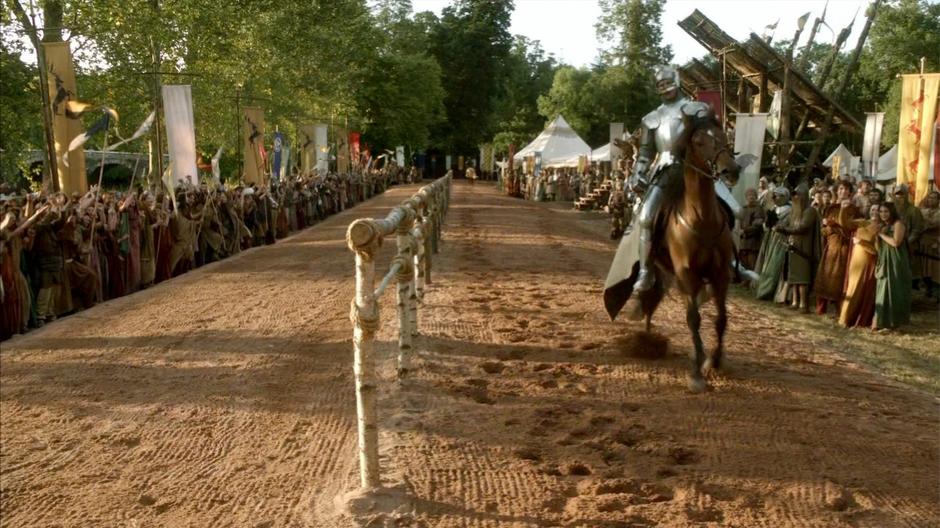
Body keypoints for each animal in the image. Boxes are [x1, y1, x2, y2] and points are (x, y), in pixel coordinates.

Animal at [644, 112, 740, 392]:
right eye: (698, 142)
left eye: (723, 137)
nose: (731, 170)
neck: (702, 219)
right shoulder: (687, 275)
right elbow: (693, 319)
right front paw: (696, 373)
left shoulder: (720, 276)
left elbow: (721, 319)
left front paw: (713, 360)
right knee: (650, 296)